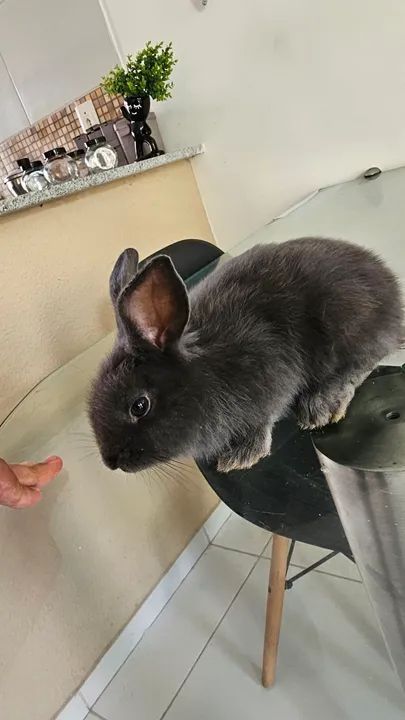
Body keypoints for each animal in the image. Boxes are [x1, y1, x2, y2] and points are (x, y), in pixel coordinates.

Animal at [88, 237, 403, 474]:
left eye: (139, 406)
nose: (111, 462)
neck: (203, 373)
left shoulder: (271, 374)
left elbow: (262, 419)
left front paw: (241, 456)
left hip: (346, 323)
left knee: (362, 362)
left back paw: (322, 403)